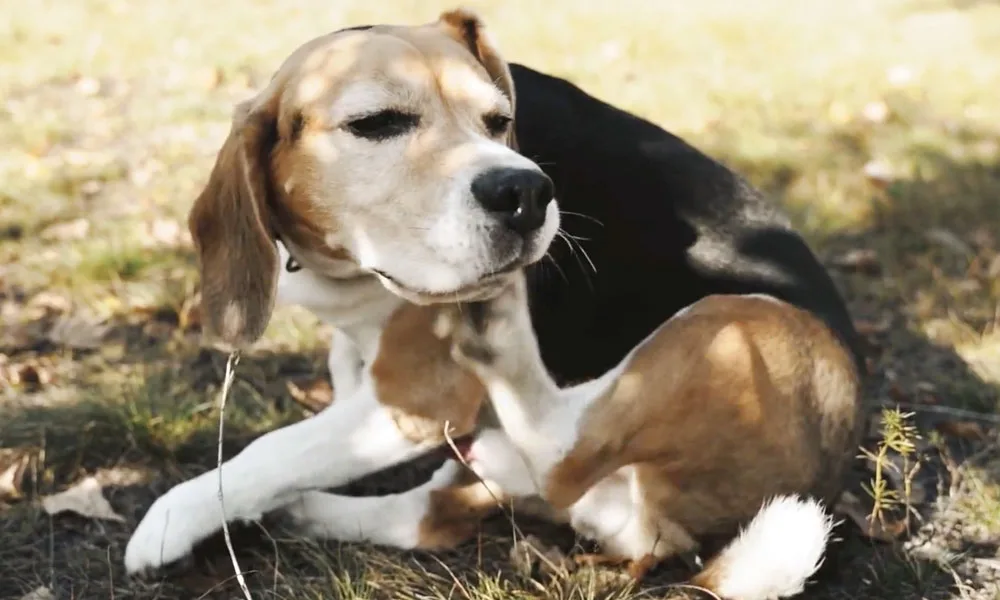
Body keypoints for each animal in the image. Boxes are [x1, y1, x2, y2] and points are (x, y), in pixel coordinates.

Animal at [125, 7, 864, 596]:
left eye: (499, 121)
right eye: (376, 123)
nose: (527, 194)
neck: (346, 266)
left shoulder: (419, 400)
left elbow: (270, 450)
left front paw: (173, 518)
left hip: (733, 322)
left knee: (562, 453)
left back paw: (501, 337)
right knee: (438, 514)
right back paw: (311, 509)